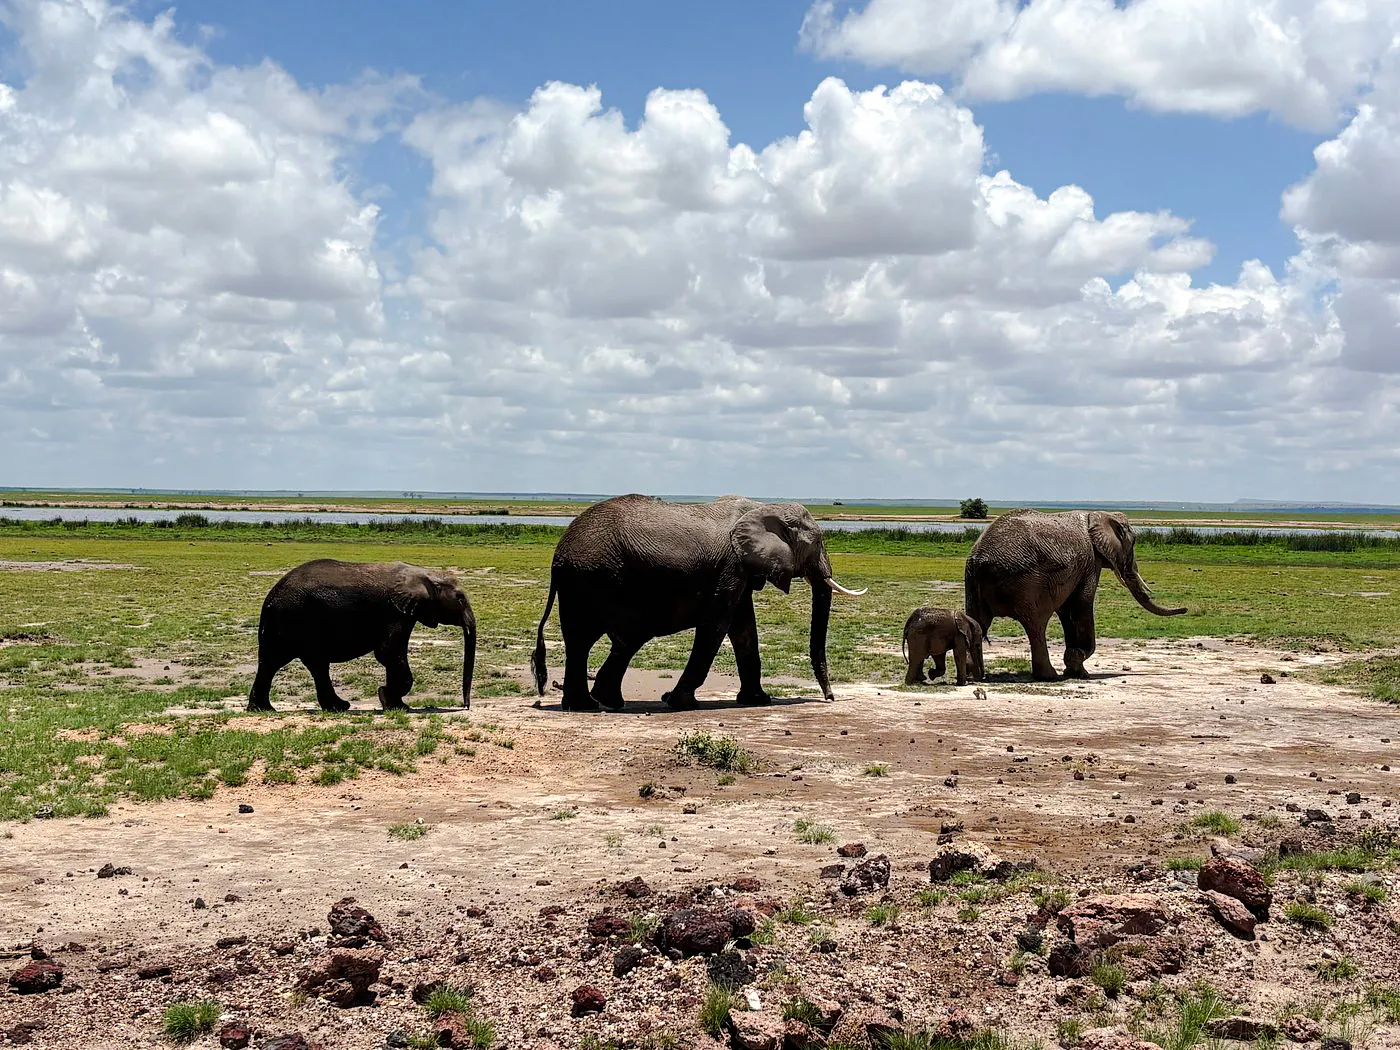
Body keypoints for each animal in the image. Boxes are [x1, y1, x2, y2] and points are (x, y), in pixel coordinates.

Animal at [246, 559, 476, 713]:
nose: (465, 706)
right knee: (288, 662)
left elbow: (391, 654)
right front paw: (386, 698)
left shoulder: (404, 612)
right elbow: (388, 652)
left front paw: (396, 705)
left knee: (283, 663)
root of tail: (270, 598)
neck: (423, 573)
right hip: (294, 618)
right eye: (460, 598)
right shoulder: (394, 612)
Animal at [529, 494, 866, 712]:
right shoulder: (731, 566)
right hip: (590, 580)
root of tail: (558, 554)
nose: (830, 698)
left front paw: (757, 700)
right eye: (818, 543)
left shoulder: (740, 569)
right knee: (598, 638)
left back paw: (599, 703)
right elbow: (716, 626)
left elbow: (744, 630)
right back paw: (590, 705)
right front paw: (677, 702)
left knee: (606, 640)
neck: (764, 506)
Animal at [964, 510, 1185, 681]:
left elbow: (1066, 611)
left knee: (976, 623)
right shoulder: (1091, 562)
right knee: (1036, 624)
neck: (1097, 515)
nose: (1185, 609)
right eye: (1134, 542)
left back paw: (973, 675)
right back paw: (1049, 676)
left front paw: (1074, 668)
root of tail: (979, 557)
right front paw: (1077, 666)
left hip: (971, 579)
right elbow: (1082, 605)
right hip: (1027, 582)